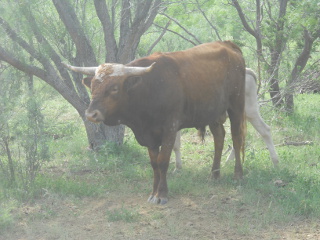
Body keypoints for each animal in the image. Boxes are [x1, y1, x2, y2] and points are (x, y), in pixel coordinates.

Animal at [63, 40, 246, 204]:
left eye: (114, 88)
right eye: (93, 86)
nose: (91, 114)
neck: (148, 89)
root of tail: (227, 44)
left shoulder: (170, 129)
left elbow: (163, 161)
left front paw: (162, 194)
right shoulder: (149, 135)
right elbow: (154, 164)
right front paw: (153, 192)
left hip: (236, 106)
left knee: (236, 139)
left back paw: (238, 175)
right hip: (213, 112)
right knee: (219, 138)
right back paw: (215, 174)